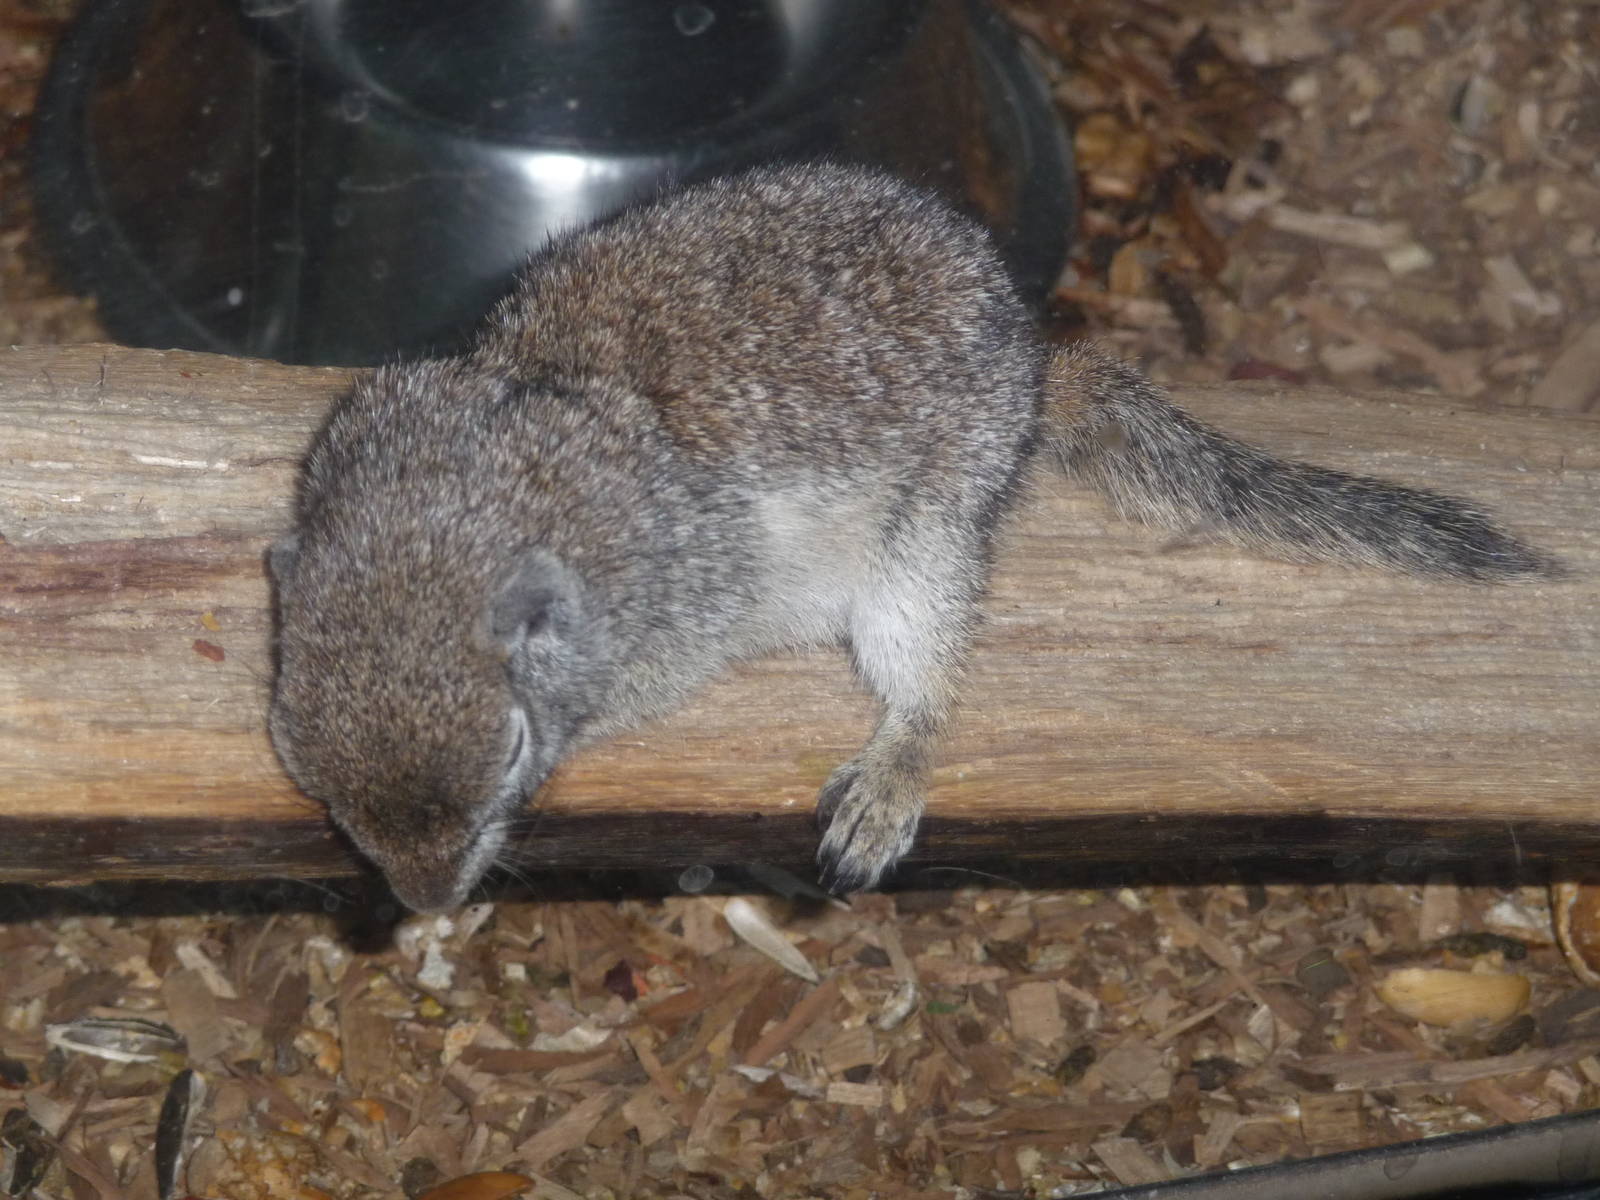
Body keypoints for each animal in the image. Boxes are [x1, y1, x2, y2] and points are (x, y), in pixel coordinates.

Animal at [267, 161, 1551, 913]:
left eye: (510, 759)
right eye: (305, 765)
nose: (426, 905)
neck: (456, 511)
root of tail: (1033, 365)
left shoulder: (678, 605)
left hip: (925, 544)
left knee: (927, 675)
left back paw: (894, 772)